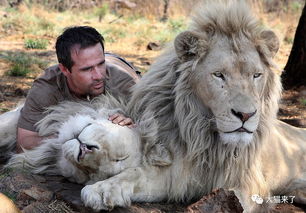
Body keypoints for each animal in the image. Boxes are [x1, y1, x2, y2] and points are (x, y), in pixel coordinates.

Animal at [79, 0, 306, 212]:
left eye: (256, 75)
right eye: (218, 75)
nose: (245, 115)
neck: (207, 139)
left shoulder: (250, 185)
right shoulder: (176, 171)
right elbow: (135, 174)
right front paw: (101, 189)